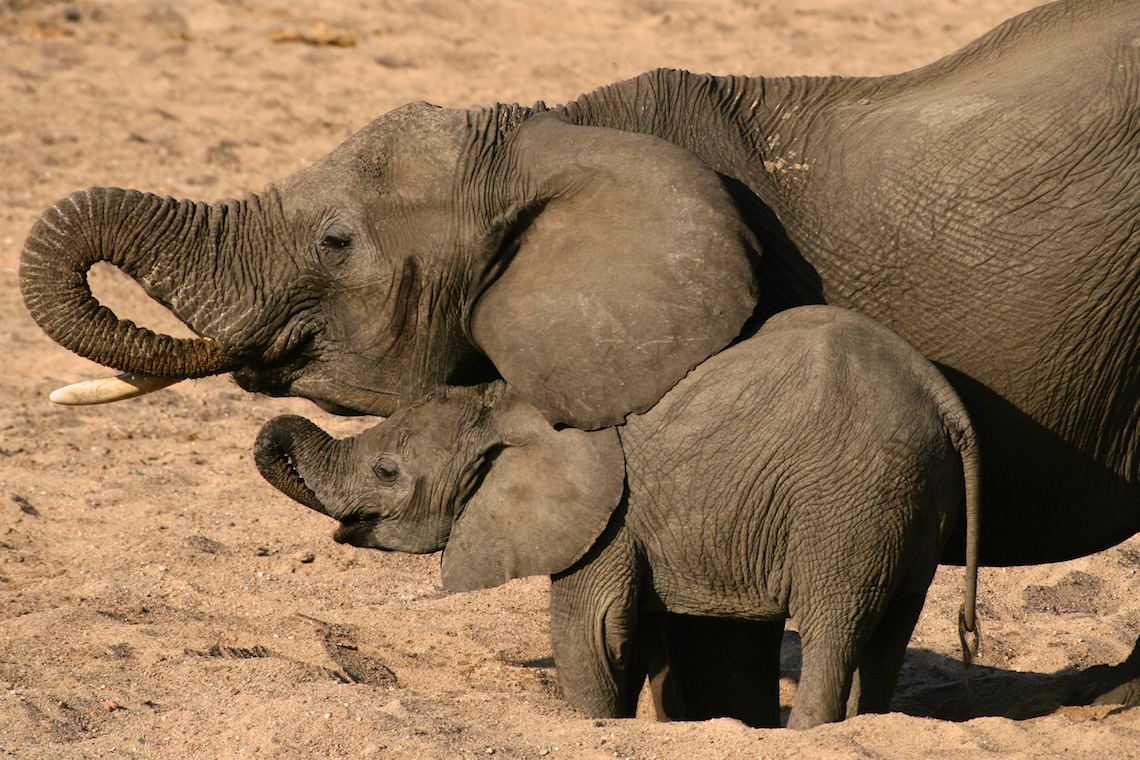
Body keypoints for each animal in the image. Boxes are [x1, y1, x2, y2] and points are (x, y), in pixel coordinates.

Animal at [256, 305, 980, 733]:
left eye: (387, 472)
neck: (505, 404)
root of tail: (942, 399)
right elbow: (639, 635)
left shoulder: (606, 516)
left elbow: (593, 631)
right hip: (912, 497)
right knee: (890, 632)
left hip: (847, 502)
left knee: (834, 628)